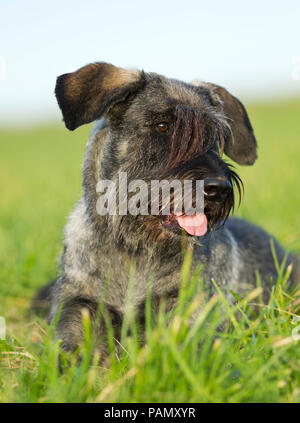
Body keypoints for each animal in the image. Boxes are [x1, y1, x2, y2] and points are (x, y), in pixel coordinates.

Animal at [36, 62, 298, 354]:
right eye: (162, 125)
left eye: (215, 136)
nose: (219, 189)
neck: (132, 250)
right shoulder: (79, 306)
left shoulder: (182, 311)